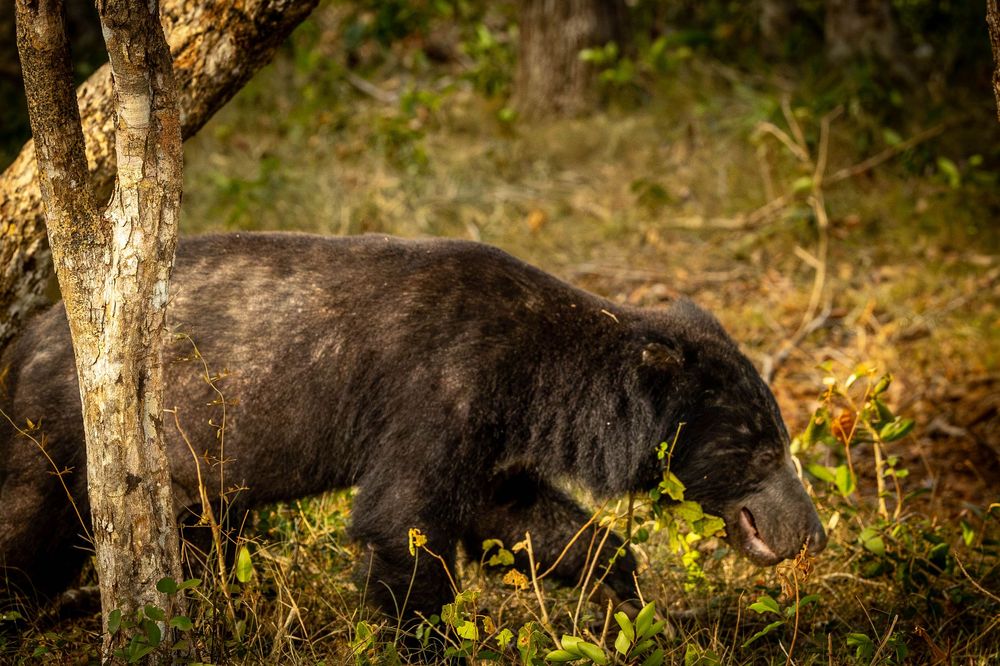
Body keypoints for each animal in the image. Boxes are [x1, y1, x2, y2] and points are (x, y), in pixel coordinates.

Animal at [0, 232, 826, 619]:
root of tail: (25, 339)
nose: (813, 532)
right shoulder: (432, 393)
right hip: (66, 429)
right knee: (33, 522)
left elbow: (526, 522)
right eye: (763, 447)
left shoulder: (492, 441)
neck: (539, 386)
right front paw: (423, 630)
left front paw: (623, 591)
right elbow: (405, 526)